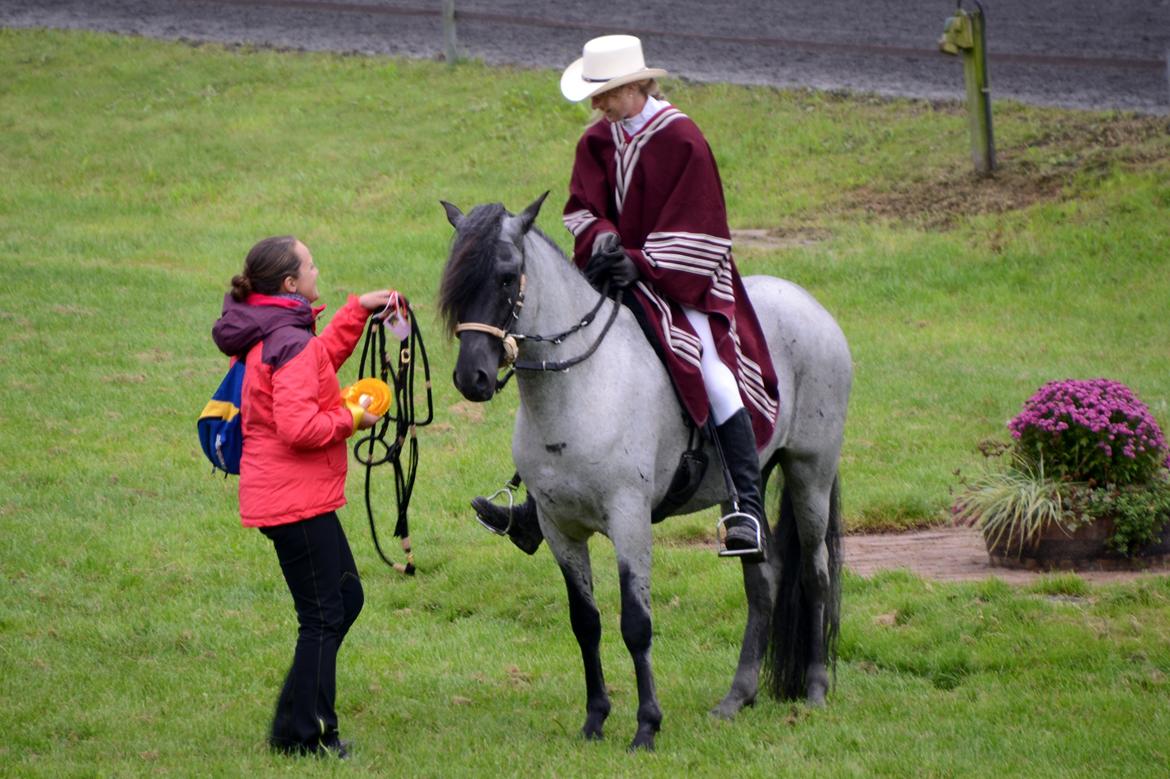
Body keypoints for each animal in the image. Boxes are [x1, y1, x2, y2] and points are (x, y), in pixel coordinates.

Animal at [437, 192, 851, 748]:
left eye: (506, 277)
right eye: (456, 276)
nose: (473, 378)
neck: (580, 386)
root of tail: (808, 303)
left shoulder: (629, 518)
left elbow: (636, 622)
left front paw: (646, 726)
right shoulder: (559, 527)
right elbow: (585, 622)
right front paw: (595, 719)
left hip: (811, 472)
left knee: (815, 571)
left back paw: (815, 689)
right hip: (749, 484)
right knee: (763, 577)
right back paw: (737, 697)